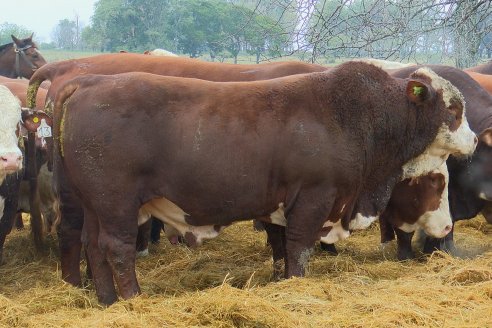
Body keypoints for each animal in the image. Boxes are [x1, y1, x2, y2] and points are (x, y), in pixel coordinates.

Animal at [49, 62, 472, 304]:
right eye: (453, 108)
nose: (471, 139)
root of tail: (88, 82)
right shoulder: (314, 197)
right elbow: (299, 248)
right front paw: (296, 286)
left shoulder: (282, 205)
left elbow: (281, 247)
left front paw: (279, 281)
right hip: (116, 203)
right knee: (116, 248)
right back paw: (133, 300)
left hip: (94, 205)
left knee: (92, 245)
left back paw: (106, 300)